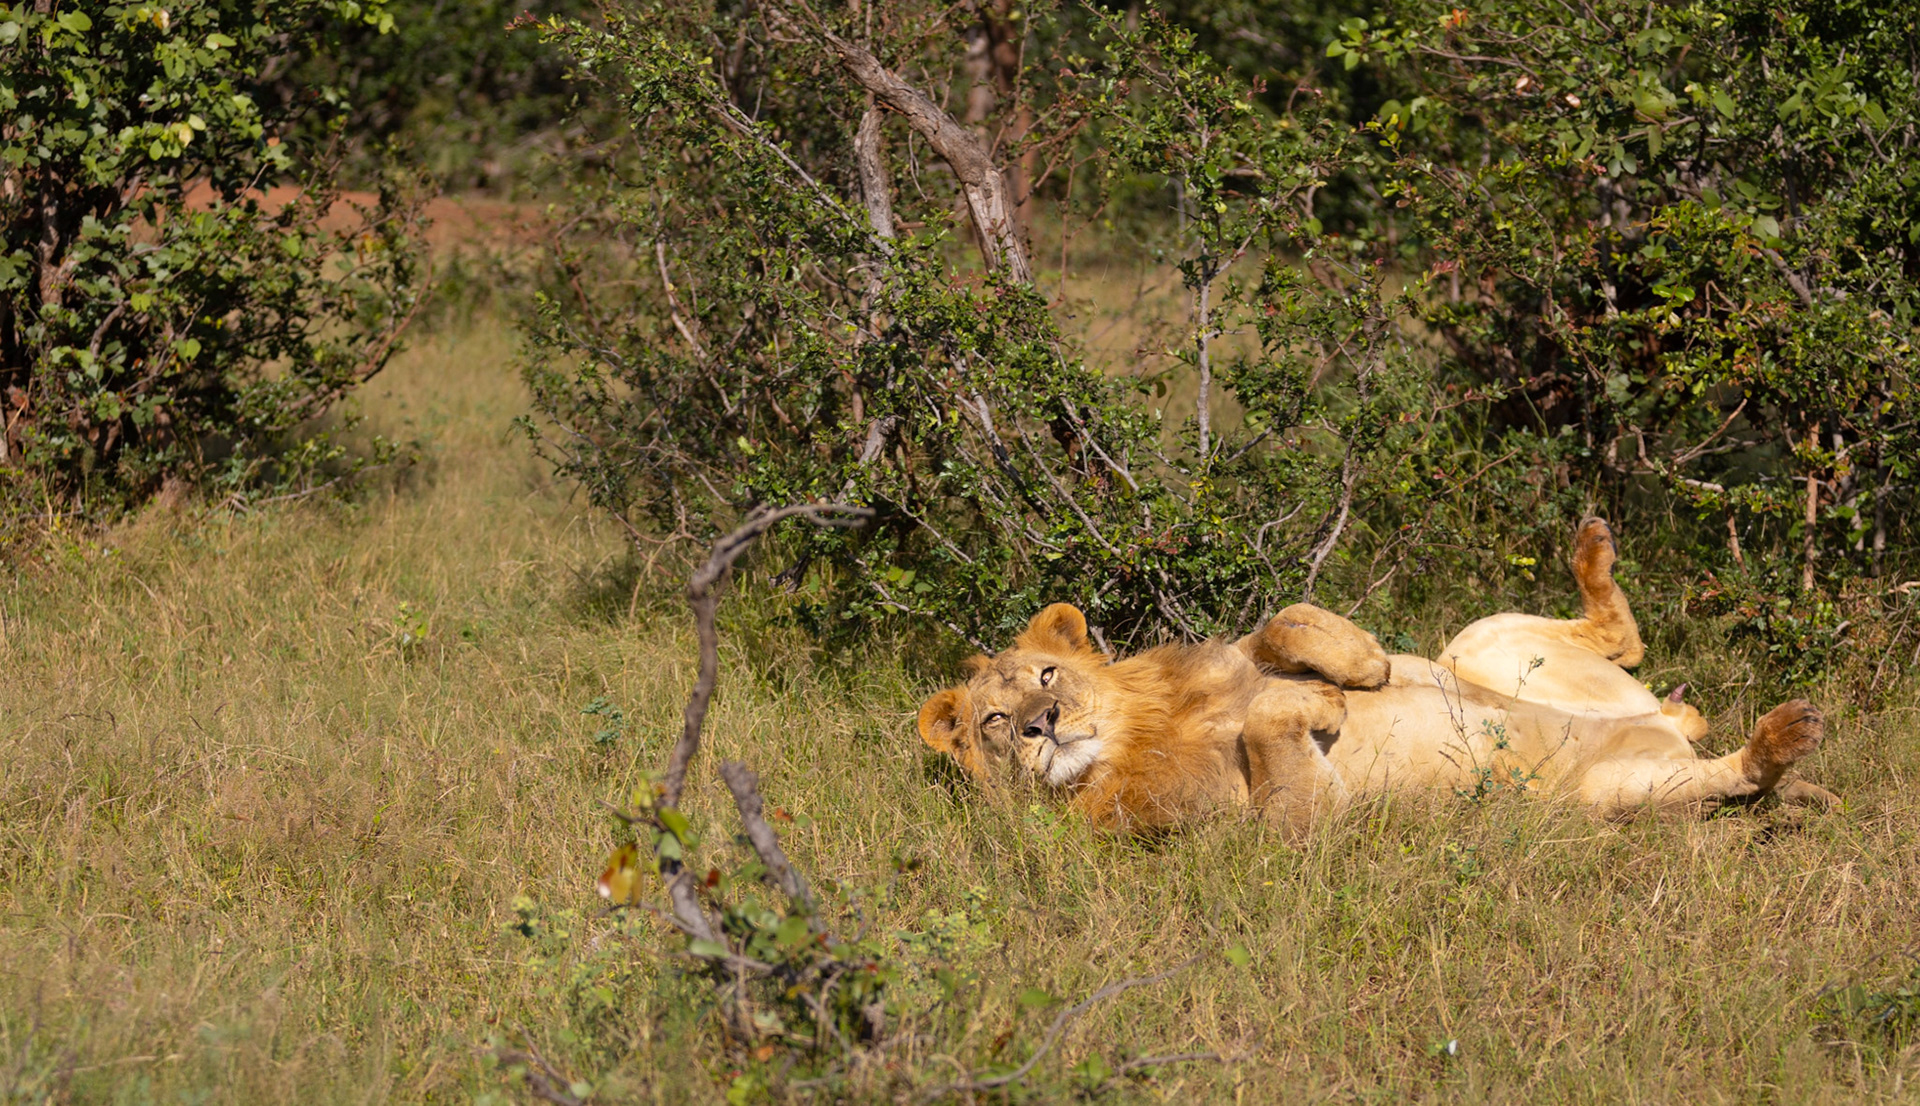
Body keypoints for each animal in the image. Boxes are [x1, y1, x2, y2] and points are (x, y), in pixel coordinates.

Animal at [917, 518, 1834, 834]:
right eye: (994, 722)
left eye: (1046, 674)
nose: (1040, 726)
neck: (1137, 733)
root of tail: (1660, 726)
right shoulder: (1286, 828)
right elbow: (1274, 723)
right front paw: (1318, 700)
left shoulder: (1236, 650)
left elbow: (1285, 619)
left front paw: (1361, 666)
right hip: (1609, 796)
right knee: (1737, 777)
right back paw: (1787, 737)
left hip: (1480, 640)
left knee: (1625, 640)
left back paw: (1593, 542)